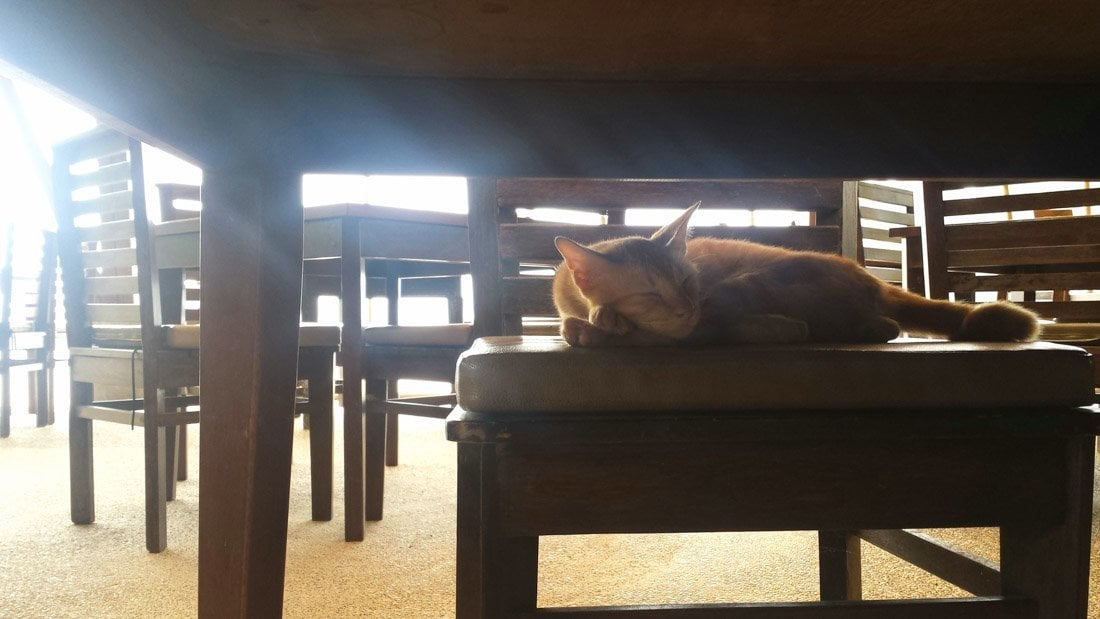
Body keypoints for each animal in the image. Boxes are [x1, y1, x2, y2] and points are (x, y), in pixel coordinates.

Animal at [550, 203, 1038, 349]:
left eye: (688, 284)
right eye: (652, 295)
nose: (689, 306)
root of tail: (873, 279)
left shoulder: (704, 310)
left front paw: (601, 323)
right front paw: (593, 322)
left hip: (757, 278)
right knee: (881, 325)